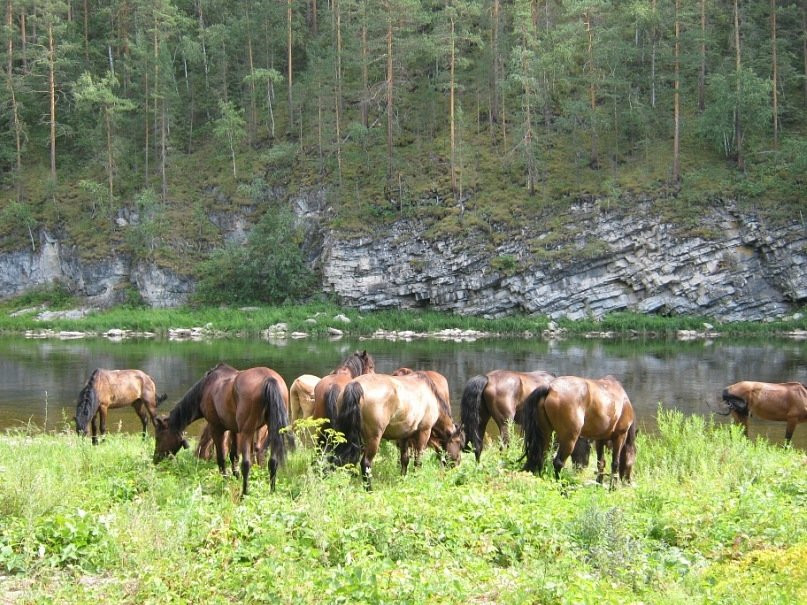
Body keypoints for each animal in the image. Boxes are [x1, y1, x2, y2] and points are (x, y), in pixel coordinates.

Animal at [153, 364, 292, 496]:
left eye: (158, 437)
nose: (155, 460)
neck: (205, 387)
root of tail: (269, 379)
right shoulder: (235, 430)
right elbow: (234, 455)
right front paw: (235, 477)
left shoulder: (217, 428)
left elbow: (221, 457)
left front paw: (224, 481)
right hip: (272, 430)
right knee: (272, 462)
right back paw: (272, 491)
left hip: (247, 432)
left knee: (246, 463)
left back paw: (244, 494)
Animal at [332, 370, 464, 488]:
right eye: (458, 442)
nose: (458, 463)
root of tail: (355, 384)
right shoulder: (424, 432)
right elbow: (418, 461)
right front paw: (416, 479)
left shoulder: (404, 436)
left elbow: (404, 459)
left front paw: (403, 478)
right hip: (373, 438)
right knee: (366, 463)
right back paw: (369, 489)